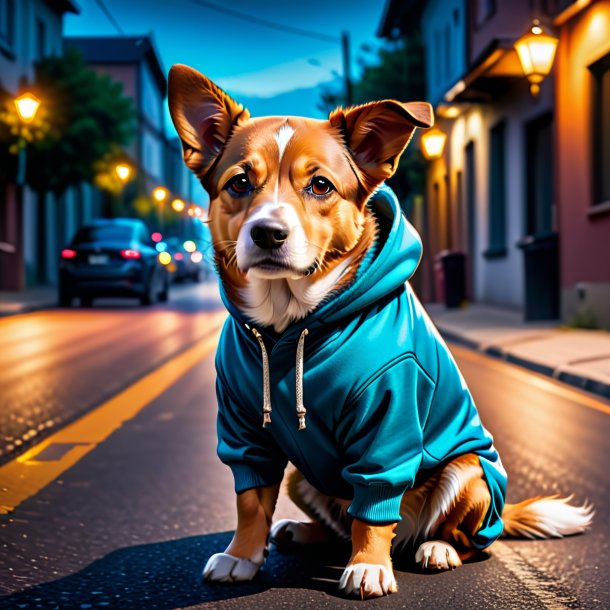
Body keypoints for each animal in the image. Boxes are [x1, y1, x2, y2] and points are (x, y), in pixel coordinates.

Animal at [166, 64, 588, 596]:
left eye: (320, 186)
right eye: (240, 183)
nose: (267, 233)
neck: (289, 327)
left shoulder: (388, 420)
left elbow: (374, 502)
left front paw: (368, 565)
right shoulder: (244, 428)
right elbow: (249, 499)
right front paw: (242, 555)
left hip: (468, 472)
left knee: (460, 537)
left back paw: (436, 548)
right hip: (301, 476)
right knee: (337, 525)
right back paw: (301, 531)